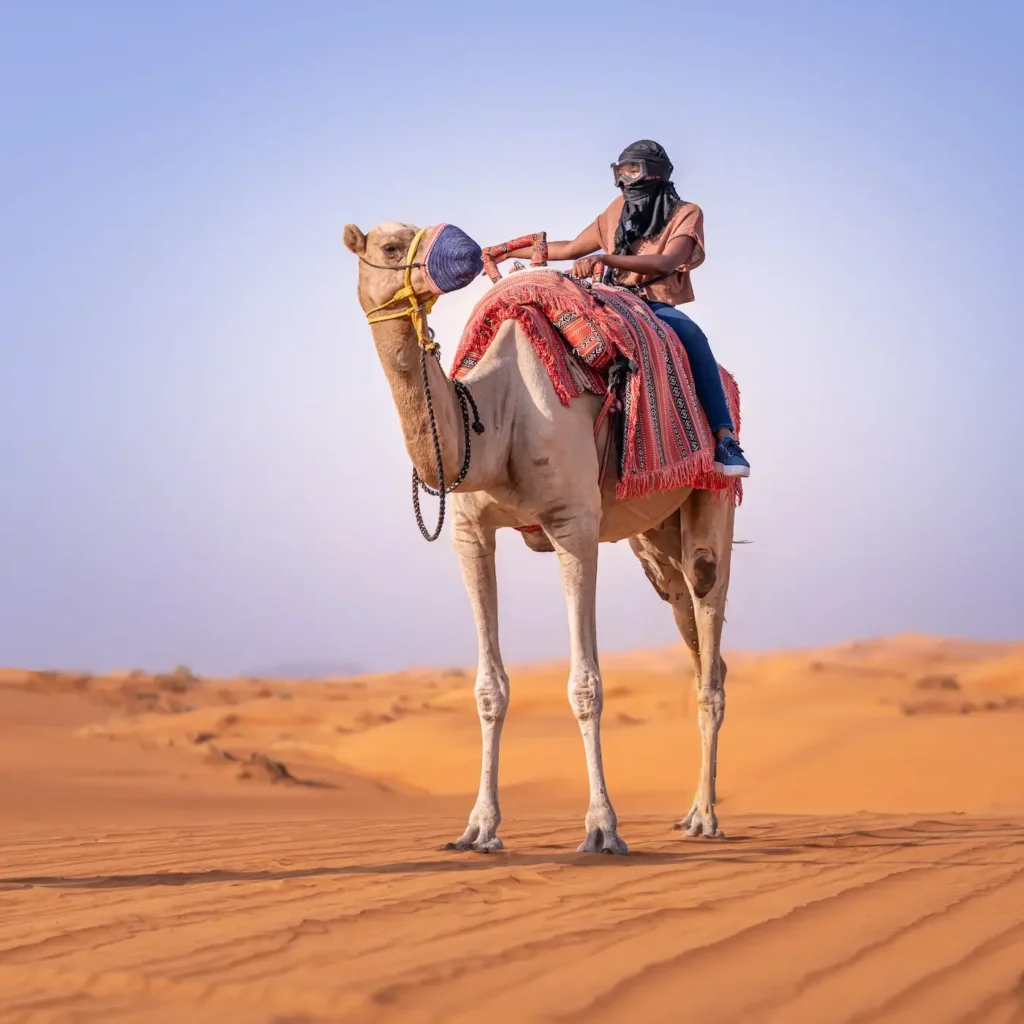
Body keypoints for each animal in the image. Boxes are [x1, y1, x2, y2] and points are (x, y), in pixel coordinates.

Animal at [344, 221, 736, 854]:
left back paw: (706, 817)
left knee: (707, 615)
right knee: (698, 637)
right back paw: (689, 812)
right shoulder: (469, 531)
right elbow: (489, 688)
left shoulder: (573, 523)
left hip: (711, 497)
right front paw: (478, 828)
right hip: (654, 539)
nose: (463, 255)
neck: (497, 416)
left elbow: (586, 684)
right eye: (388, 246)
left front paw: (602, 827)